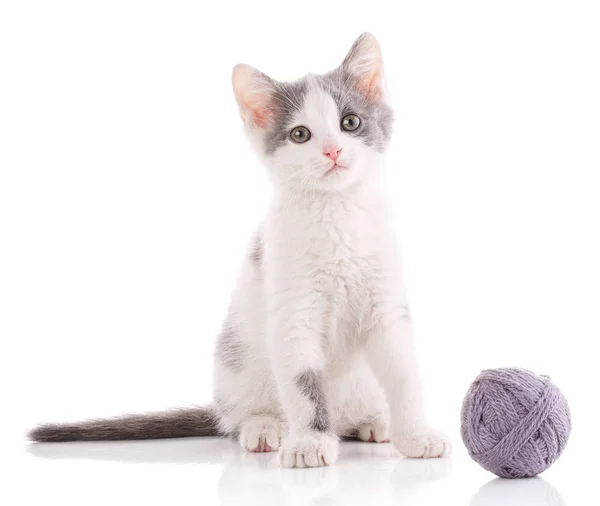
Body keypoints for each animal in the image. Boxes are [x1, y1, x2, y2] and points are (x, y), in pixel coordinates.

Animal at [28, 33, 450, 468]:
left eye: (350, 122)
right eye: (300, 134)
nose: (333, 151)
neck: (337, 214)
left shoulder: (386, 305)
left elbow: (404, 374)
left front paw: (415, 434)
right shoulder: (292, 311)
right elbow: (303, 382)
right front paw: (311, 442)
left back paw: (375, 423)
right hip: (235, 365)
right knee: (244, 413)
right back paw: (264, 428)